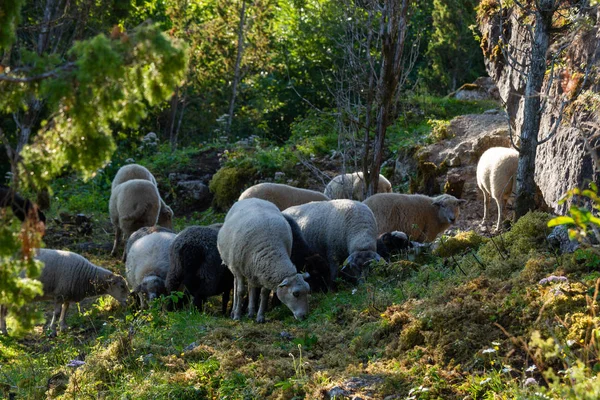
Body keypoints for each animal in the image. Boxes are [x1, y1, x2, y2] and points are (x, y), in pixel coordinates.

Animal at [1, 248, 129, 336]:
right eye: (122, 286)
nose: (129, 301)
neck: (86, 276)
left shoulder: (67, 294)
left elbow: (65, 309)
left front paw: (63, 327)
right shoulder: (60, 294)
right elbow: (57, 312)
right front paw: (53, 331)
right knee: (3, 308)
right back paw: (4, 330)